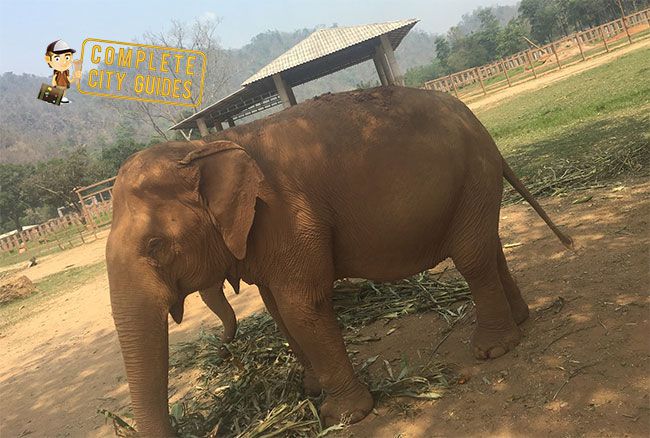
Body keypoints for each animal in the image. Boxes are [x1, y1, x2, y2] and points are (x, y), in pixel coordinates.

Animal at [105, 86, 572, 436]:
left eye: (155, 246)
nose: (223, 346)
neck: (207, 148)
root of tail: (475, 120)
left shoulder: (289, 215)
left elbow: (301, 305)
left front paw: (342, 416)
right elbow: (277, 308)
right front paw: (310, 390)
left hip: (473, 174)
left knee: (472, 256)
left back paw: (492, 350)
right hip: (474, 182)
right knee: (488, 246)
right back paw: (520, 320)